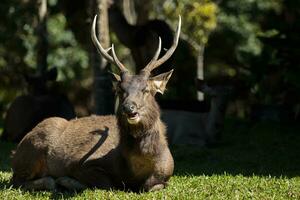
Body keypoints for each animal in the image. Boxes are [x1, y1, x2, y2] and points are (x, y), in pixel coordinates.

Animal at [11, 14, 180, 191]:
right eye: (120, 90)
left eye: (146, 89)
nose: (128, 107)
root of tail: (14, 153)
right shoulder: (80, 163)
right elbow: (108, 184)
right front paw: (67, 180)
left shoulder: (166, 173)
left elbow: (152, 185)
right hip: (33, 149)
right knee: (17, 180)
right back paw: (53, 181)